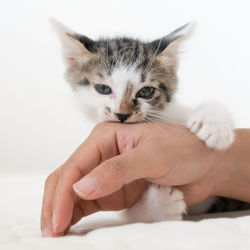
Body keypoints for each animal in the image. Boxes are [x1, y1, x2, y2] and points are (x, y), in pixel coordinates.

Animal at [51, 19, 236, 222]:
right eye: (103, 89)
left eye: (146, 91)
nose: (122, 114)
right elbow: (132, 214)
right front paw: (159, 204)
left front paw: (215, 127)